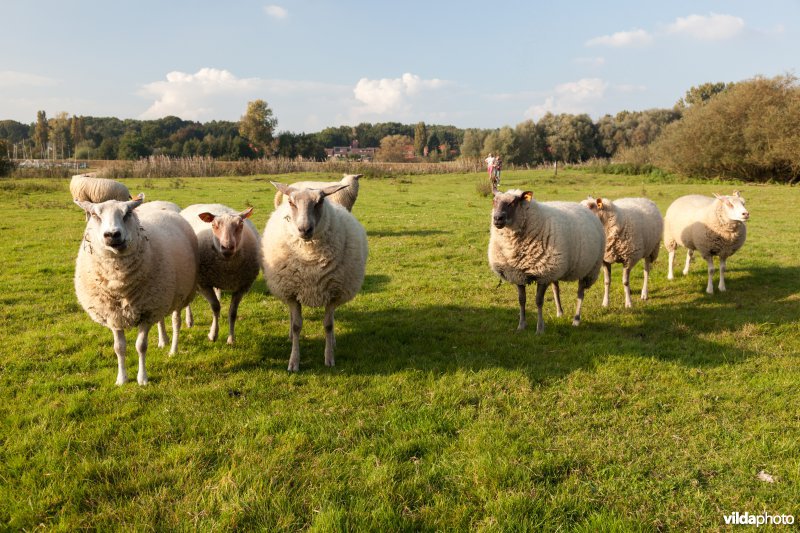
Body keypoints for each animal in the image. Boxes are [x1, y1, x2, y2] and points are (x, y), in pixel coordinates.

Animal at [74, 193, 199, 384]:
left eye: (127, 213)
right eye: (95, 215)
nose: (112, 234)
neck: (119, 283)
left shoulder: (146, 313)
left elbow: (141, 346)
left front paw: (142, 378)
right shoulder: (114, 315)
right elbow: (119, 348)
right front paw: (121, 379)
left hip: (177, 294)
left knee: (176, 321)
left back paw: (174, 348)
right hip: (159, 296)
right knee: (161, 319)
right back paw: (163, 340)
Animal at [180, 204, 260, 344]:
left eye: (241, 225)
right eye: (213, 225)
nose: (227, 247)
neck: (228, 269)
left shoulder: (242, 287)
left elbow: (233, 312)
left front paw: (231, 339)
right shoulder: (204, 284)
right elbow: (215, 307)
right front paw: (213, 334)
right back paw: (189, 320)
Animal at [262, 180, 368, 370]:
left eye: (320, 202)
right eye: (291, 202)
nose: (304, 229)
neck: (310, 259)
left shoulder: (334, 293)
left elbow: (328, 325)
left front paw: (329, 357)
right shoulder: (292, 293)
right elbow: (297, 326)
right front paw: (294, 361)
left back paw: (333, 341)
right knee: (292, 318)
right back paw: (290, 336)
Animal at [488, 188, 608, 332]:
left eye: (513, 203)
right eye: (494, 201)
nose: (497, 218)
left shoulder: (543, 274)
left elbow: (539, 301)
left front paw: (540, 328)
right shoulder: (518, 274)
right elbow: (521, 300)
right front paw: (521, 325)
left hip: (588, 269)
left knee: (580, 294)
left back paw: (576, 320)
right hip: (556, 267)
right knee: (556, 289)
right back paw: (560, 312)